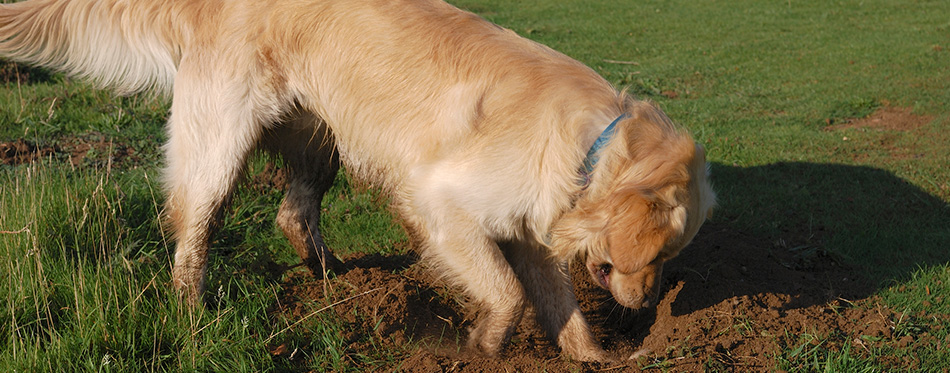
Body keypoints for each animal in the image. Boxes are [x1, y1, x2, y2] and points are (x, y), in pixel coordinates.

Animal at [0, 0, 712, 360]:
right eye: (655, 257)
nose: (649, 306)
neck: (592, 146)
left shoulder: (532, 233)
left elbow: (560, 307)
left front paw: (593, 358)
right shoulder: (440, 203)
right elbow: (506, 292)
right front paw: (485, 344)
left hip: (323, 138)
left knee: (291, 213)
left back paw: (333, 281)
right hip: (221, 146)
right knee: (192, 232)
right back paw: (193, 314)